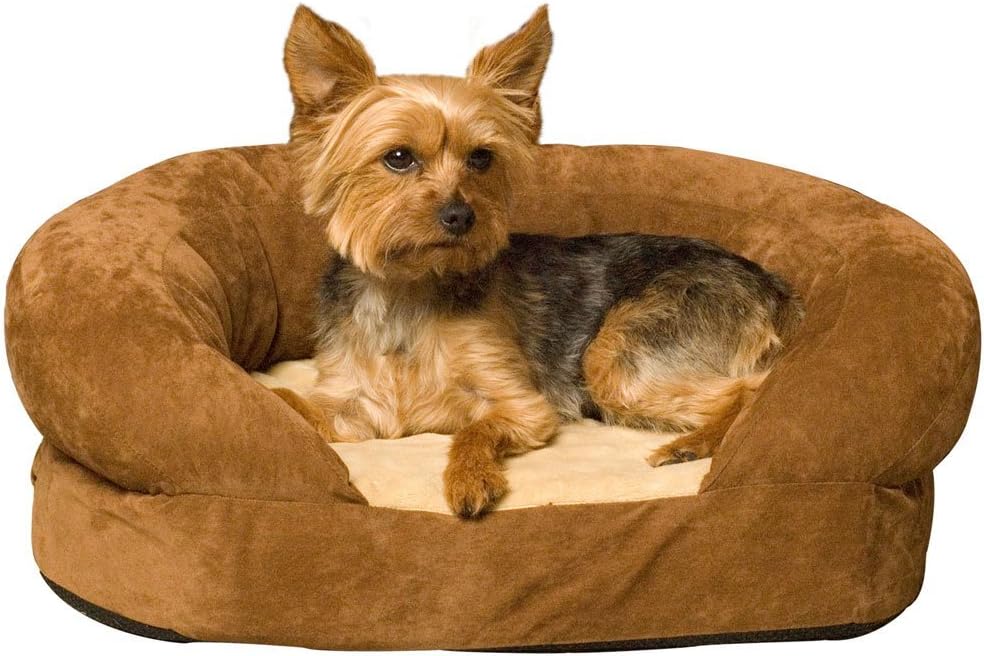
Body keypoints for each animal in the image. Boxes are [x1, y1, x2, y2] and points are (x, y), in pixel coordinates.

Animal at [270, 4, 804, 518]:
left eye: (481, 158)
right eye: (398, 157)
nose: (461, 215)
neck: (411, 288)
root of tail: (769, 283)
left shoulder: (522, 405)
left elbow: (475, 429)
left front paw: (469, 479)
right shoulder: (358, 409)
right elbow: (292, 404)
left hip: (620, 357)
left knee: (750, 391)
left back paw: (691, 444)